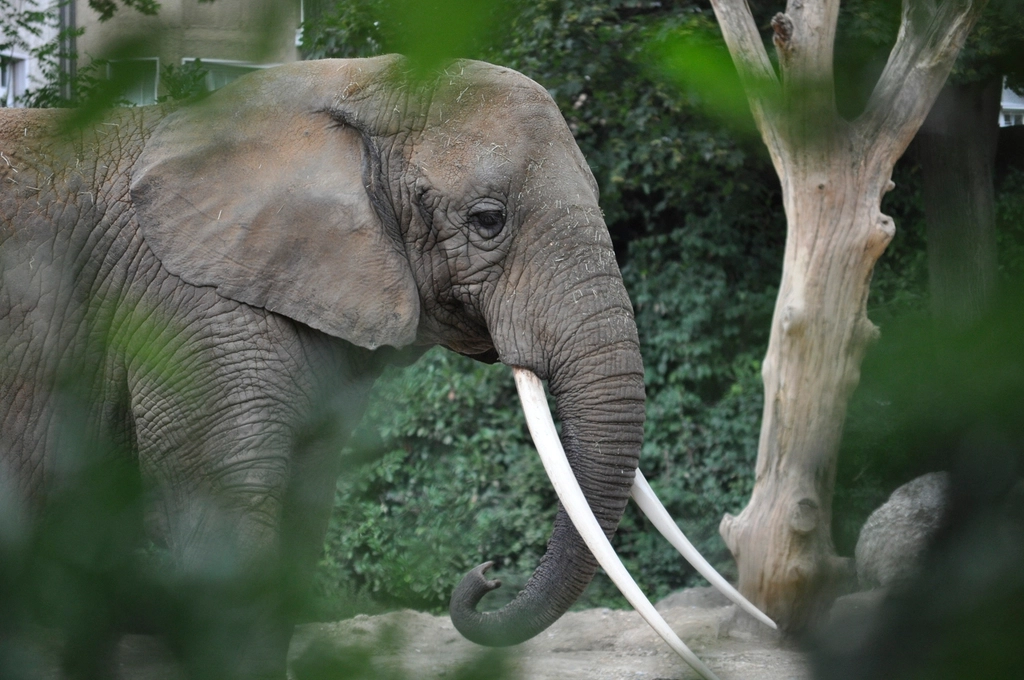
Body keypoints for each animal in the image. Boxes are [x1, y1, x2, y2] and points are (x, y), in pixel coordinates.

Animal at [0, 56, 769, 680]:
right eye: (487, 219)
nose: (485, 573)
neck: (347, 86)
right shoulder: (183, 307)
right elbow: (221, 533)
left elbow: (298, 526)